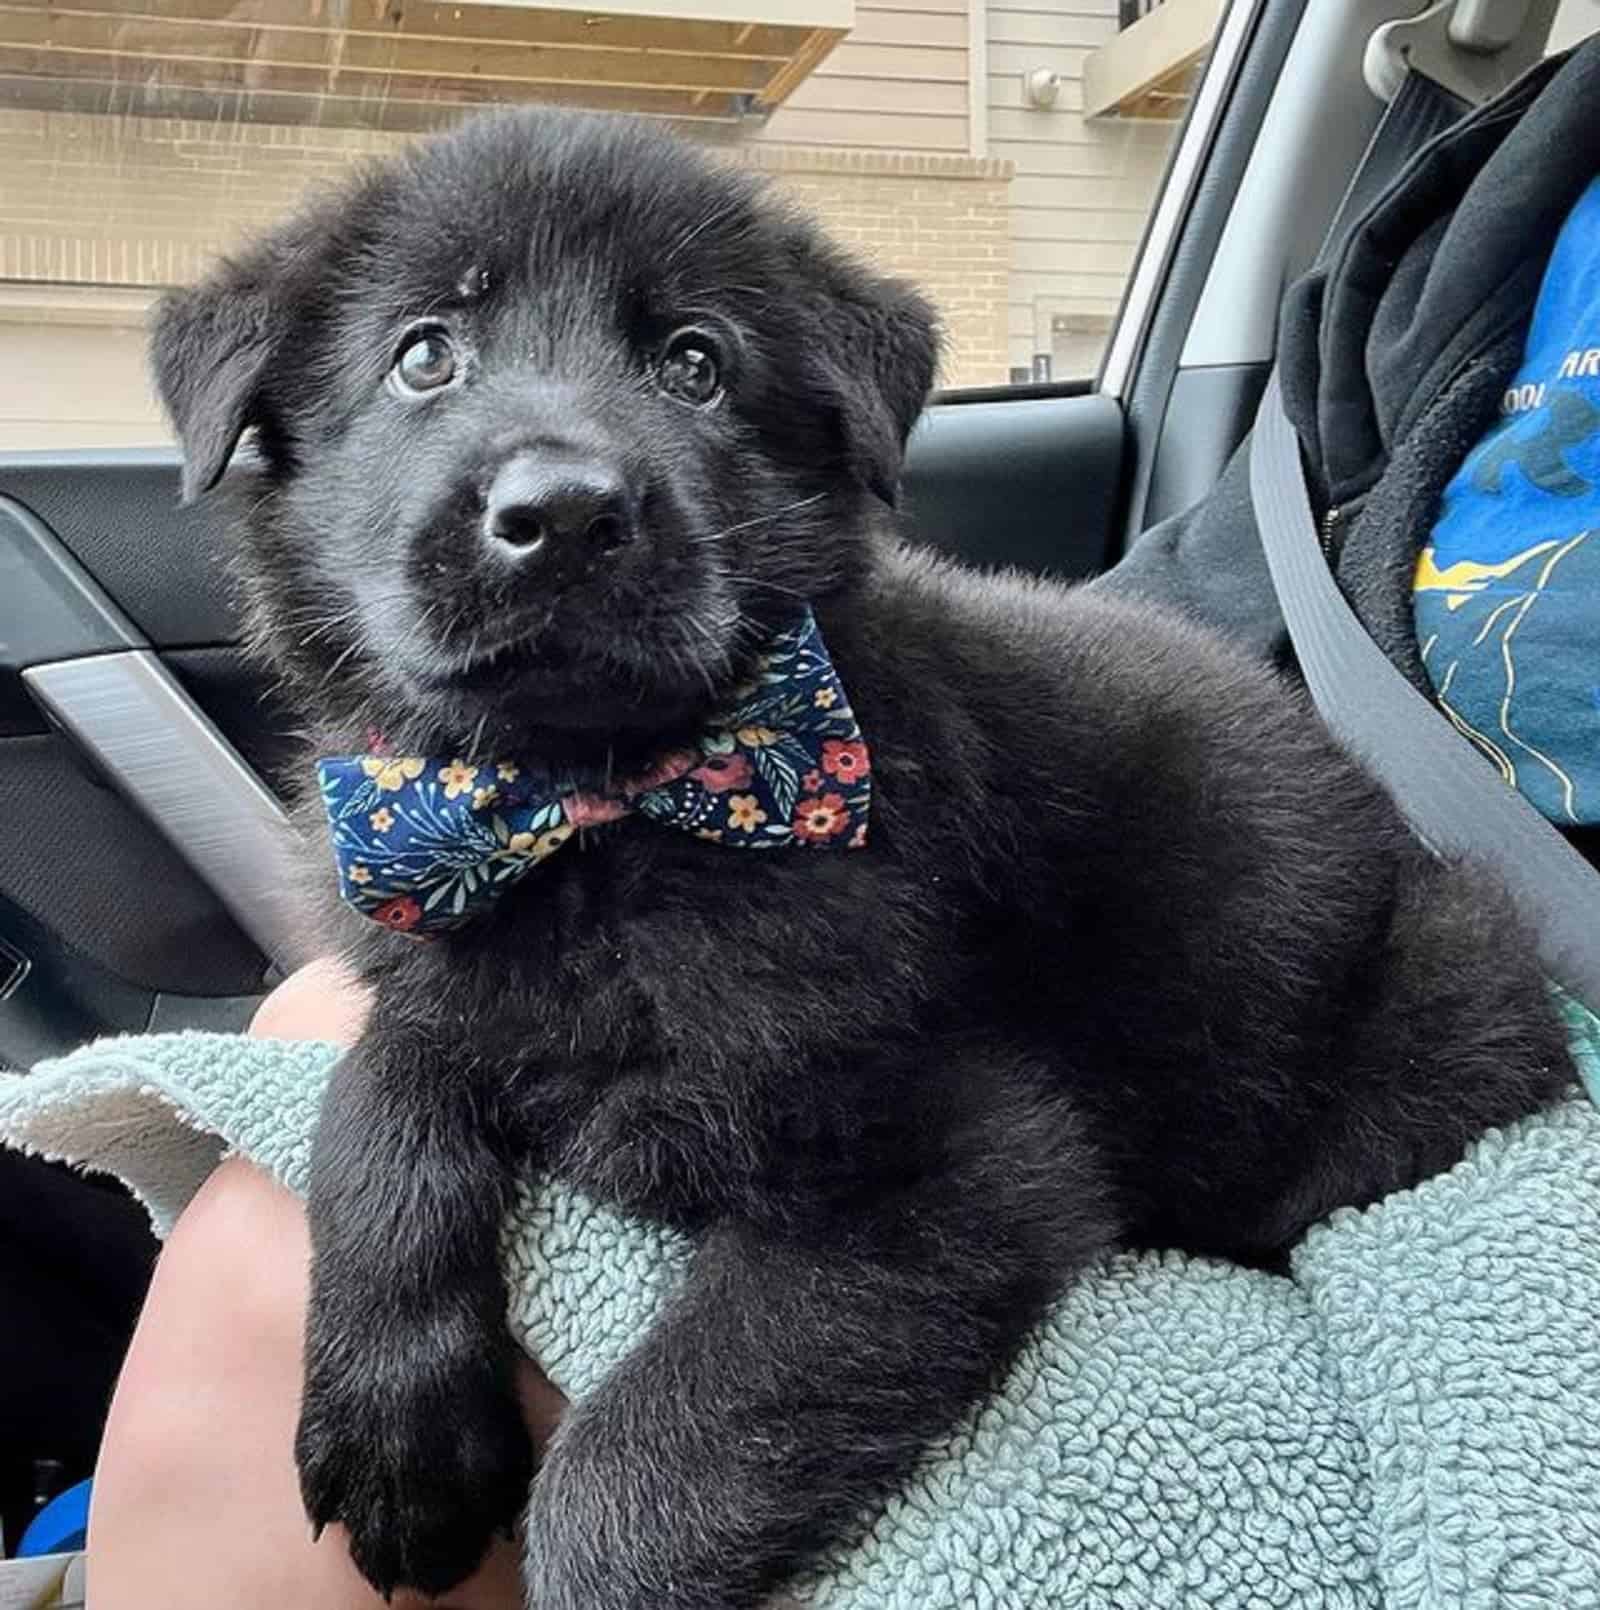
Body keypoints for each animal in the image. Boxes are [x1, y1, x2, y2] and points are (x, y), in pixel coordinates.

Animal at [152, 107, 1571, 1603]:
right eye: (424, 353)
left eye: (696, 362)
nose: (565, 513)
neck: (602, 808)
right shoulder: (442, 972)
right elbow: (375, 1100)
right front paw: (395, 1423)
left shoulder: (955, 1166)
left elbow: (639, 1464)